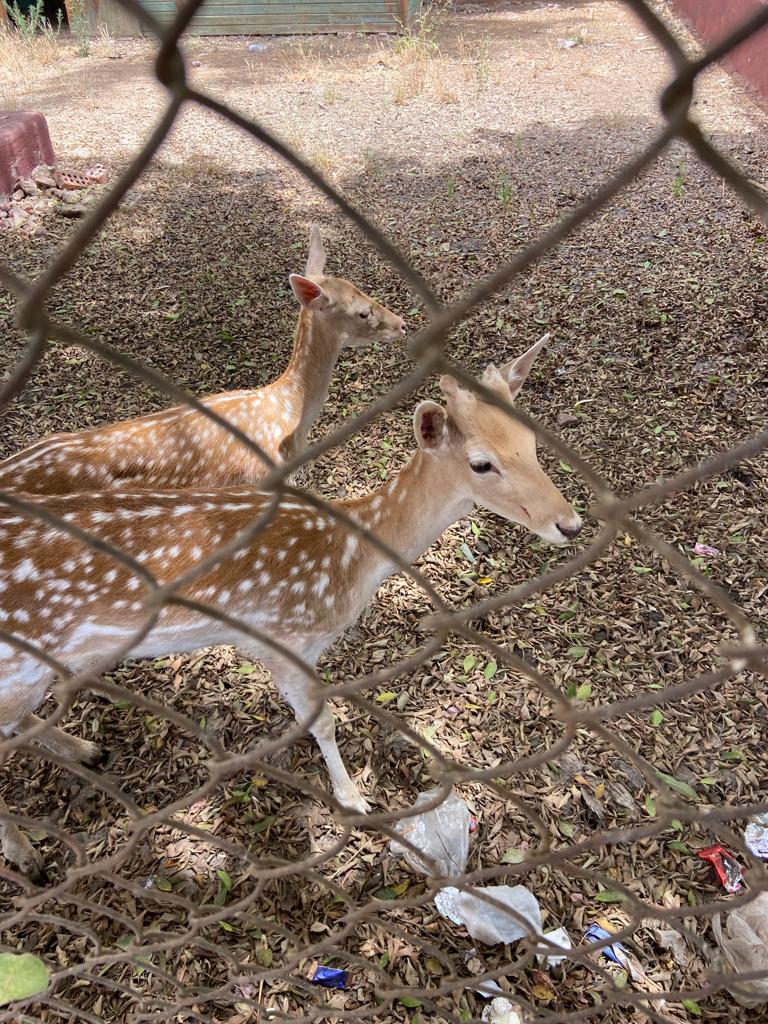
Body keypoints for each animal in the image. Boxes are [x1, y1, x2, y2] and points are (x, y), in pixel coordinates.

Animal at [0, 335, 581, 880]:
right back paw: (27, 854)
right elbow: (322, 722)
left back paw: (84, 752)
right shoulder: (284, 637)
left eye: (533, 442)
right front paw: (353, 801)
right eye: (481, 463)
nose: (570, 523)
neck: (350, 558)